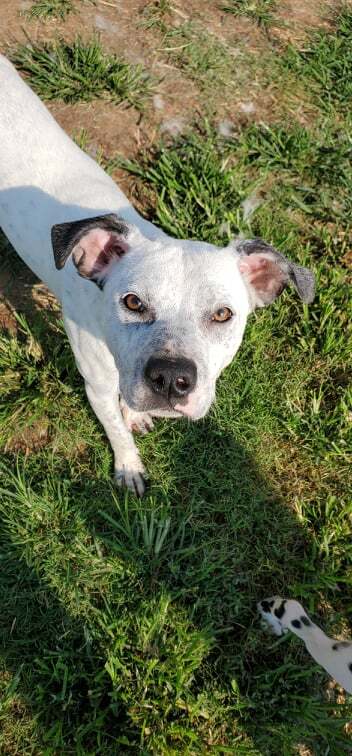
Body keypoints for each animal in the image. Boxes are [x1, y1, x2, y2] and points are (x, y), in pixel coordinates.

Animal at [0, 56, 314, 494]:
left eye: (223, 314)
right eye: (133, 302)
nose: (170, 378)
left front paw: (134, 416)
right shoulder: (96, 386)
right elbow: (115, 429)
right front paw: (129, 466)